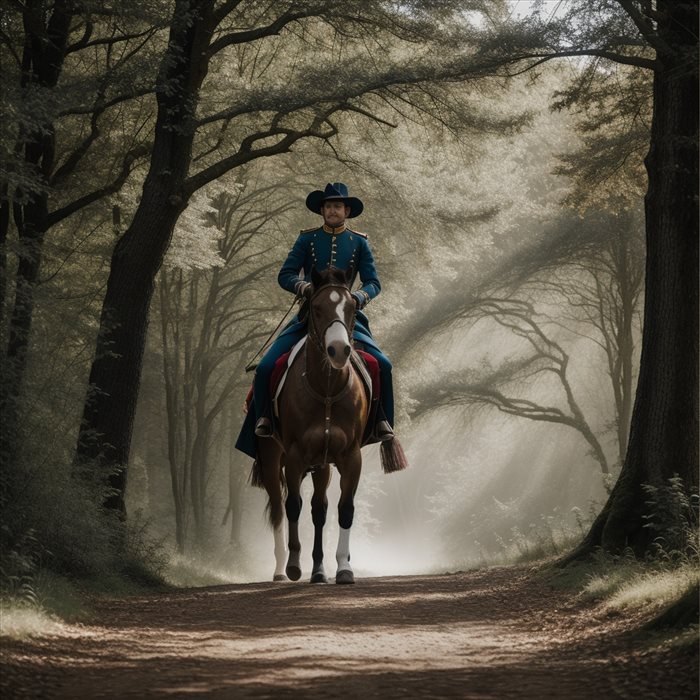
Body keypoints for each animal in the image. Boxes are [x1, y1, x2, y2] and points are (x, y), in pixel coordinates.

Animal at [252, 266, 404, 584]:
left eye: (351, 308)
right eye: (317, 308)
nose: (338, 350)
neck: (327, 389)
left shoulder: (350, 457)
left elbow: (344, 509)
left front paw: (344, 568)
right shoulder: (294, 456)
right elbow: (292, 506)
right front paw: (294, 565)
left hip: (322, 465)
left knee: (319, 509)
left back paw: (319, 571)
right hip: (271, 459)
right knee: (279, 508)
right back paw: (280, 570)